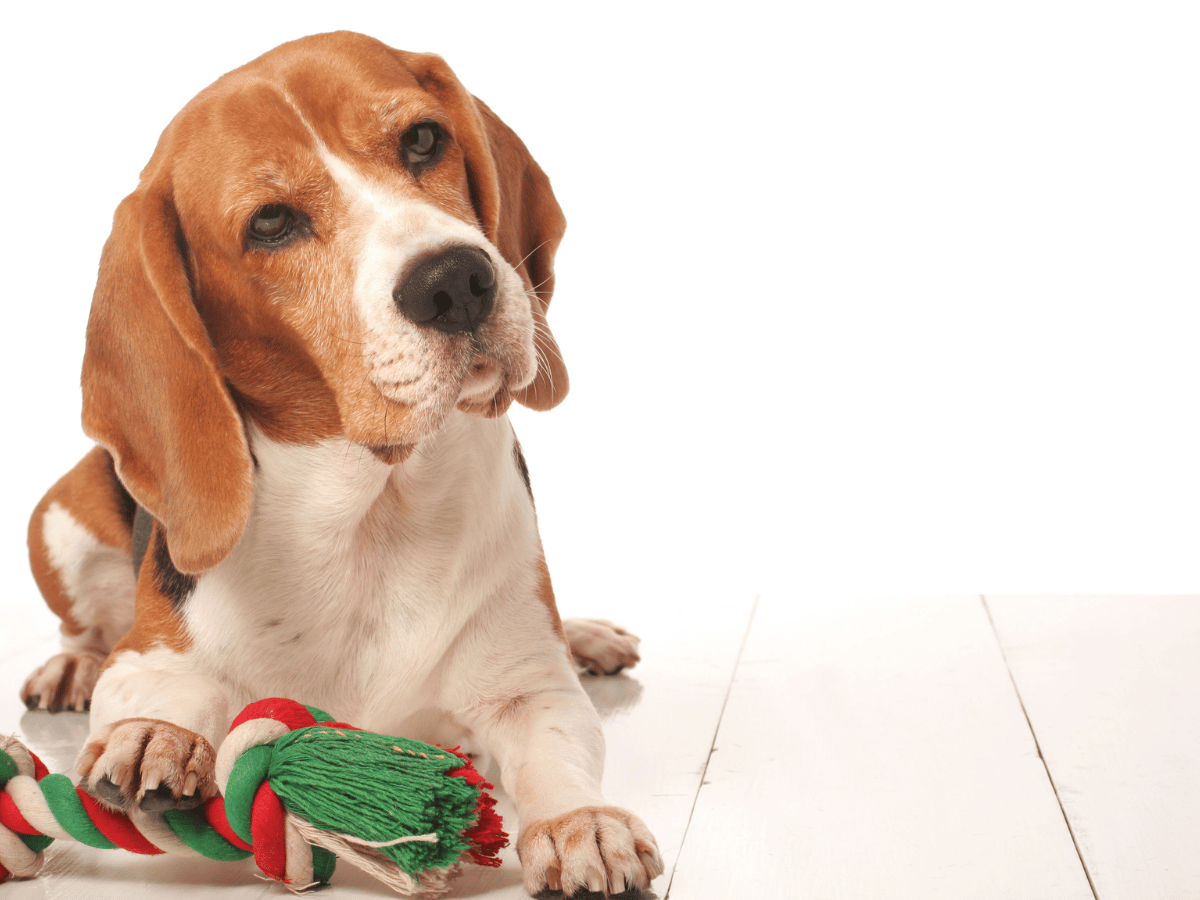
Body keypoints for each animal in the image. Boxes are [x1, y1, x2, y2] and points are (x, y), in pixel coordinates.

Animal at [18, 31, 662, 897]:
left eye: (422, 139)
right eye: (271, 223)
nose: (456, 280)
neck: (369, 514)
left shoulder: (531, 688)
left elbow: (555, 746)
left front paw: (581, 823)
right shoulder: (150, 652)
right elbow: (157, 690)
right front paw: (154, 735)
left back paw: (588, 634)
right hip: (58, 520)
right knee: (86, 626)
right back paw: (69, 668)